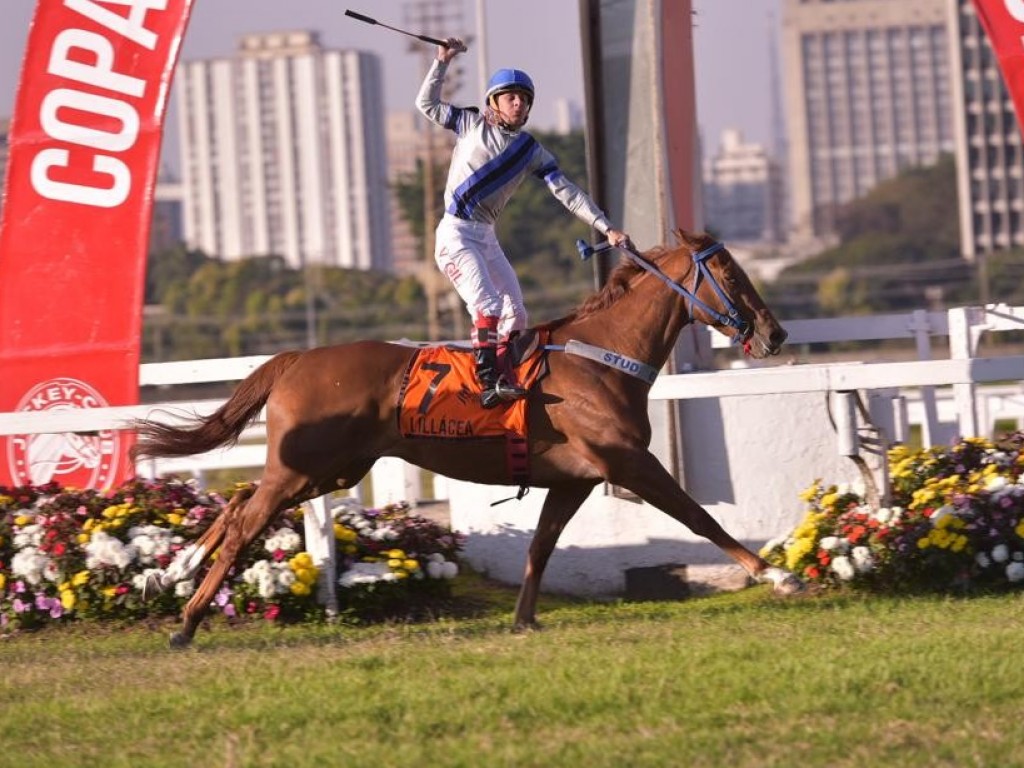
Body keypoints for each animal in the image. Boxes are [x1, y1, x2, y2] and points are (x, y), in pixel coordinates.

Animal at [132, 230, 802, 651]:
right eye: (731, 275)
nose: (775, 333)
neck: (601, 358)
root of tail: (296, 358)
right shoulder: (627, 462)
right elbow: (698, 517)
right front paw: (776, 575)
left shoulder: (574, 479)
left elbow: (541, 546)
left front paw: (525, 620)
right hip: (304, 468)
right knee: (246, 521)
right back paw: (186, 620)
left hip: (333, 469)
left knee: (239, 500)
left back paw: (173, 572)